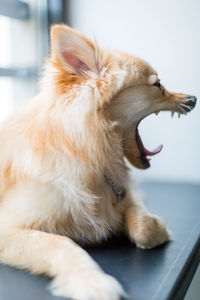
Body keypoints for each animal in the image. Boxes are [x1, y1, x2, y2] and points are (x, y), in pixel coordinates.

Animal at [0, 25, 196, 300]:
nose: (193, 98)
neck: (88, 157)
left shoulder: (127, 195)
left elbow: (144, 227)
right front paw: (91, 281)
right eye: (157, 85)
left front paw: (157, 228)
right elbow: (61, 244)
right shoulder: (8, 228)